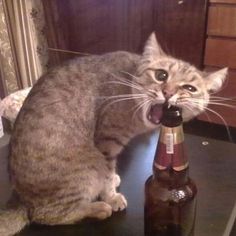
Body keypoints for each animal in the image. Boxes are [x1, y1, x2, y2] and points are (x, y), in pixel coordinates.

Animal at [0, 32, 227, 234]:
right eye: (161, 75)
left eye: (190, 88)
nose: (168, 93)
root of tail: (19, 200)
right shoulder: (107, 142)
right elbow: (107, 175)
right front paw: (111, 196)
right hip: (86, 169)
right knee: (46, 215)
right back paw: (97, 208)